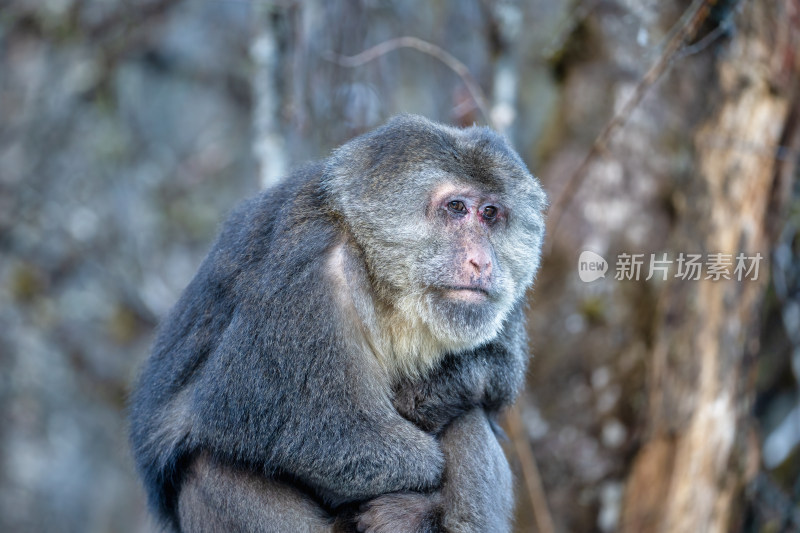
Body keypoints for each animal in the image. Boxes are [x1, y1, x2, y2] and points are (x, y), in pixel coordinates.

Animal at [128, 114, 548, 528]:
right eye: (457, 207)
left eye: (490, 213)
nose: (483, 262)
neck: (382, 274)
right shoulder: (309, 273)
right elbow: (255, 414)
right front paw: (421, 462)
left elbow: (499, 371)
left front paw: (428, 398)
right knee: (208, 464)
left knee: (469, 411)